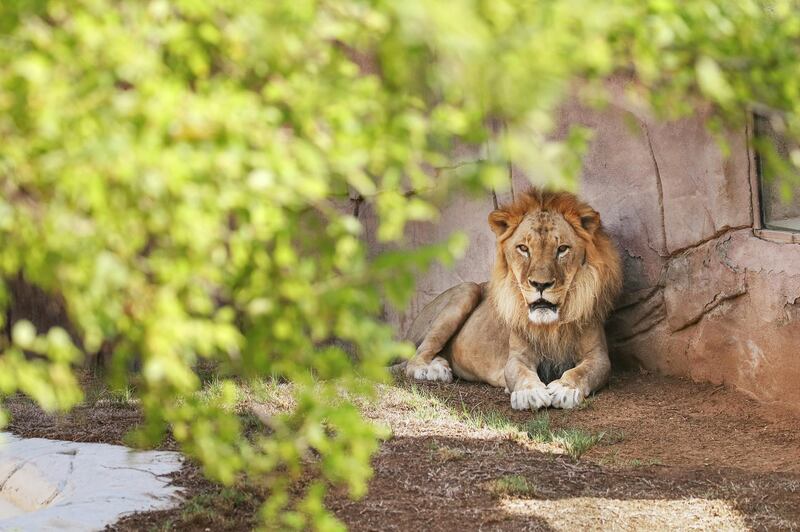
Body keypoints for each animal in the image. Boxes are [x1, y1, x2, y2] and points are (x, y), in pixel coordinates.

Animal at [404, 189, 620, 410]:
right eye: (523, 248)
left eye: (562, 249)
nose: (540, 284)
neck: (550, 326)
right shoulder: (516, 357)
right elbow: (522, 374)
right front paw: (529, 393)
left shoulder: (598, 356)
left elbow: (581, 371)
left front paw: (565, 388)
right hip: (467, 289)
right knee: (413, 358)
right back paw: (433, 370)